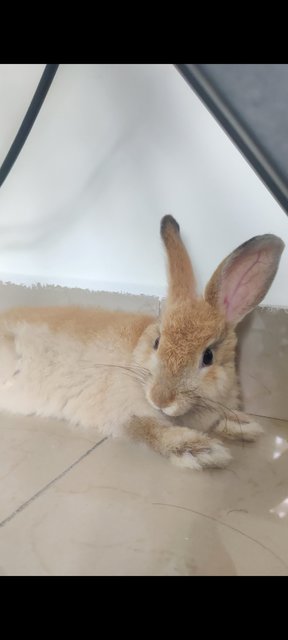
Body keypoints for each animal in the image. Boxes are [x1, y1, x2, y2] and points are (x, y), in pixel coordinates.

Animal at [0, 215, 284, 470]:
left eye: (208, 357)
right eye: (157, 342)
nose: (161, 399)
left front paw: (244, 425)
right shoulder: (127, 414)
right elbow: (149, 430)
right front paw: (202, 450)